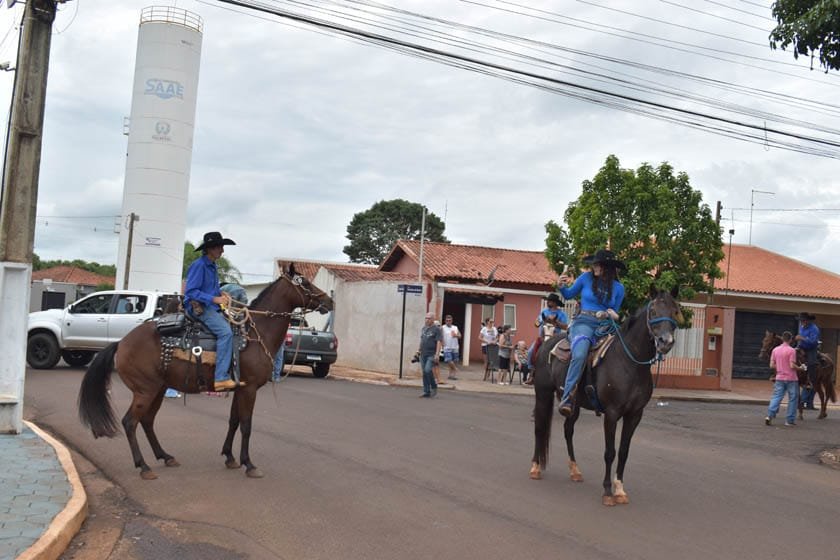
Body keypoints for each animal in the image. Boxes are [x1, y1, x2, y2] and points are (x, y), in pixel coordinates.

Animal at [78, 263, 333, 480]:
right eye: (304, 282)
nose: (329, 301)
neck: (256, 334)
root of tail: (121, 343)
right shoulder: (249, 389)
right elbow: (247, 425)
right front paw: (249, 464)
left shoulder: (239, 387)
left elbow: (233, 421)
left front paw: (230, 457)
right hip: (145, 391)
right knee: (130, 422)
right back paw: (144, 466)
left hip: (158, 389)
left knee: (147, 421)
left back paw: (165, 456)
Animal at [529, 286, 682, 506]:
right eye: (653, 311)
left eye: (675, 311)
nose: (666, 342)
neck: (630, 363)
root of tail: (547, 344)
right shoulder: (612, 413)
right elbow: (610, 452)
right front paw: (608, 491)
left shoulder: (634, 415)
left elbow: (624, 452)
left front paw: (620, 489)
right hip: (542, 394)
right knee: (540, 428)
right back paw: (535, 467)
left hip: (573, 404)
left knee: (568, 430)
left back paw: (575, 470)